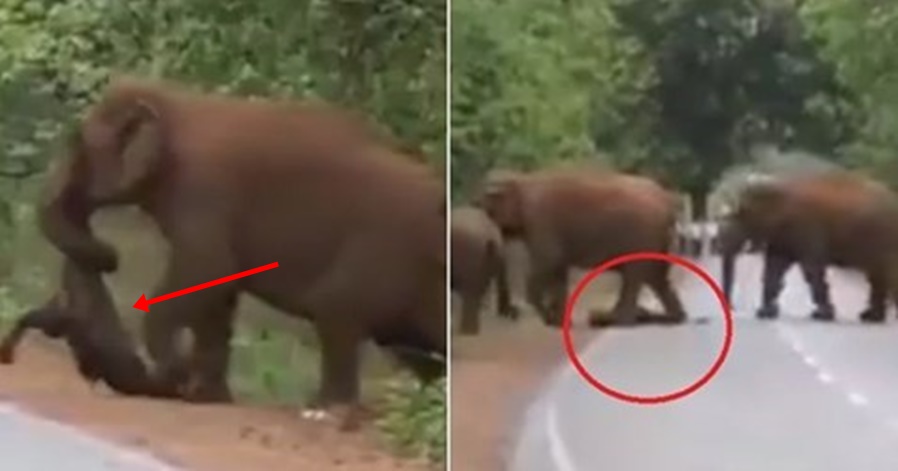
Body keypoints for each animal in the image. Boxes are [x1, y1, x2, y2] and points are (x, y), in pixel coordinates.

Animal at [476, 169, 688, 328]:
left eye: (488, 207)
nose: (513, 312)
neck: (522, 179)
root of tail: (668, 204)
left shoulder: (540, 220)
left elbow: (548, 262)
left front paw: (550, 320)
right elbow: (558, 271)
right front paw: (559, 323)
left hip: (643, 236)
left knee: (635, 276)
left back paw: (617, 320)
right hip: (655, 240)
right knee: (657, 278)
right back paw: (668, 317)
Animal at [716, 171, 898, 322]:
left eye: (741, 214)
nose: (733, 308)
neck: (781, 186)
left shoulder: (806, 227)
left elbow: (811, 270)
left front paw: (823, 316)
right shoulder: (783, 236)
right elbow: (773, 268)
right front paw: (765, 313)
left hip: (886, 238)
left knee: (885, 275)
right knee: (877, 277)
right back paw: (871, 317)